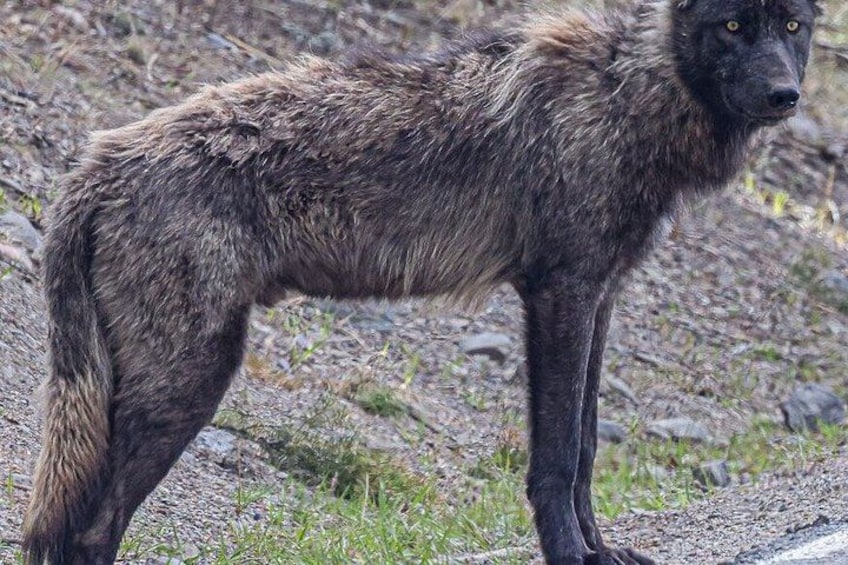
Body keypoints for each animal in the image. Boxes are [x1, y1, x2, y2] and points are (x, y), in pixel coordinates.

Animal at [22, 0, 818, 563]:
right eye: (734, 24)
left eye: (792, 24)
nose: (786, 95)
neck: (626, 93)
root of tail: (94, 163)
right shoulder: (560, 295)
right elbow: (558, 455)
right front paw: (570, 555)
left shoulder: (601, 299)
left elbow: (589, 448)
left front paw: (602, 550)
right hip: (187, 383)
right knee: (89, 533)